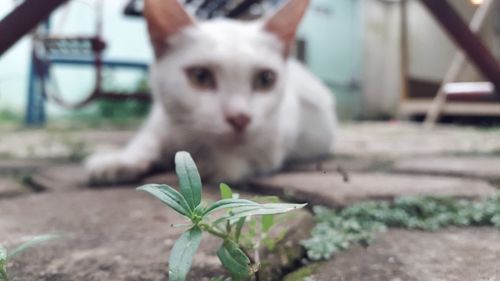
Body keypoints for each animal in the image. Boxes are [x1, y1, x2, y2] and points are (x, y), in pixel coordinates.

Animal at [85, 0, 336, 184]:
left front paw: (206, 166)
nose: (239, 118)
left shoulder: (274, 138)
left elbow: (238, 161)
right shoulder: (162, 117)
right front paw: (120, 160)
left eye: (266, 79)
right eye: (200, 76)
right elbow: (147, 140)